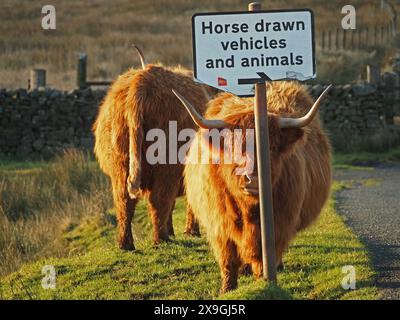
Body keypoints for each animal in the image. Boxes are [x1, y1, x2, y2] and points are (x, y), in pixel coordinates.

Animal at [92, 50, 208, 250]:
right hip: (166, 165)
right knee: (159, 199)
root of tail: (142, 81)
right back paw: (161, 239)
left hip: (120, 164)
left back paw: (126, 244)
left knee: (124, 201)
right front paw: (190, 232)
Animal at [173, 81, 332, 292]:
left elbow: (264, 257)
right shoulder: (219, 225)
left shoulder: (280, 223)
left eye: (271, 148)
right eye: (234, 149)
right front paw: (227, 288)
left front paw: (264, 282)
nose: (254, 179)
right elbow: (228, 259)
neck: (249, 209)